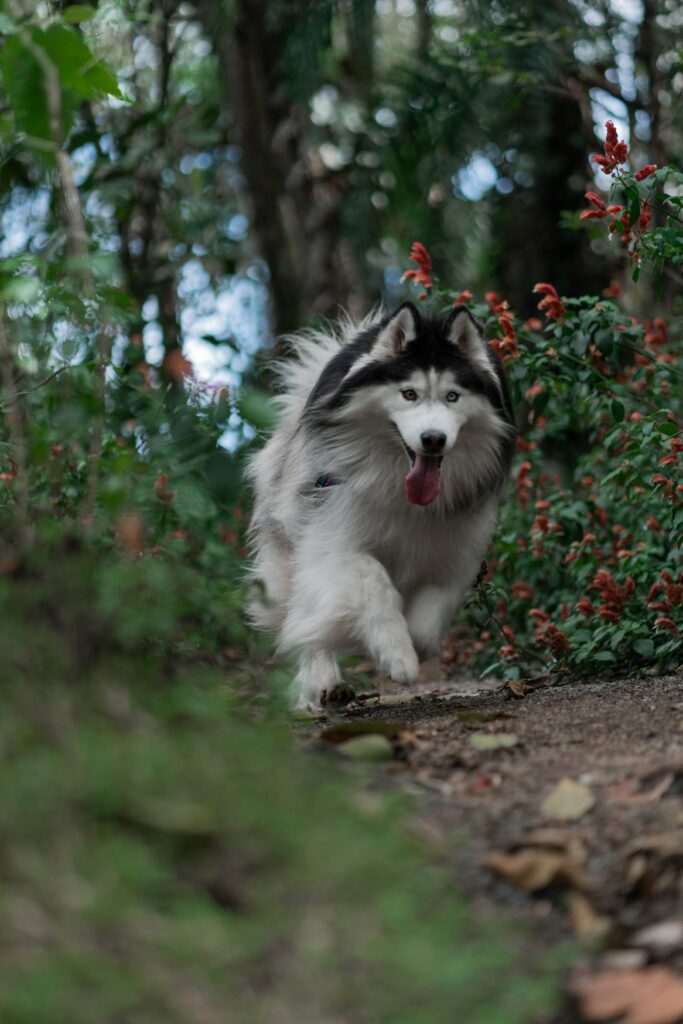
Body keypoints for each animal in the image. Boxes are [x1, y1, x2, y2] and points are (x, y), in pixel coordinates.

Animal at [248, 299, 516, 708]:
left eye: (453, 396)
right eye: (409, 394)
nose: (433, 439)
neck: (404, 496)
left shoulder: (453, 551)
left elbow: (430, 613)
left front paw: (414, 647)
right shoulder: (335, 540)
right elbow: (372, 580)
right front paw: (396, 655)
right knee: (304, 616)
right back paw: (325, 682)